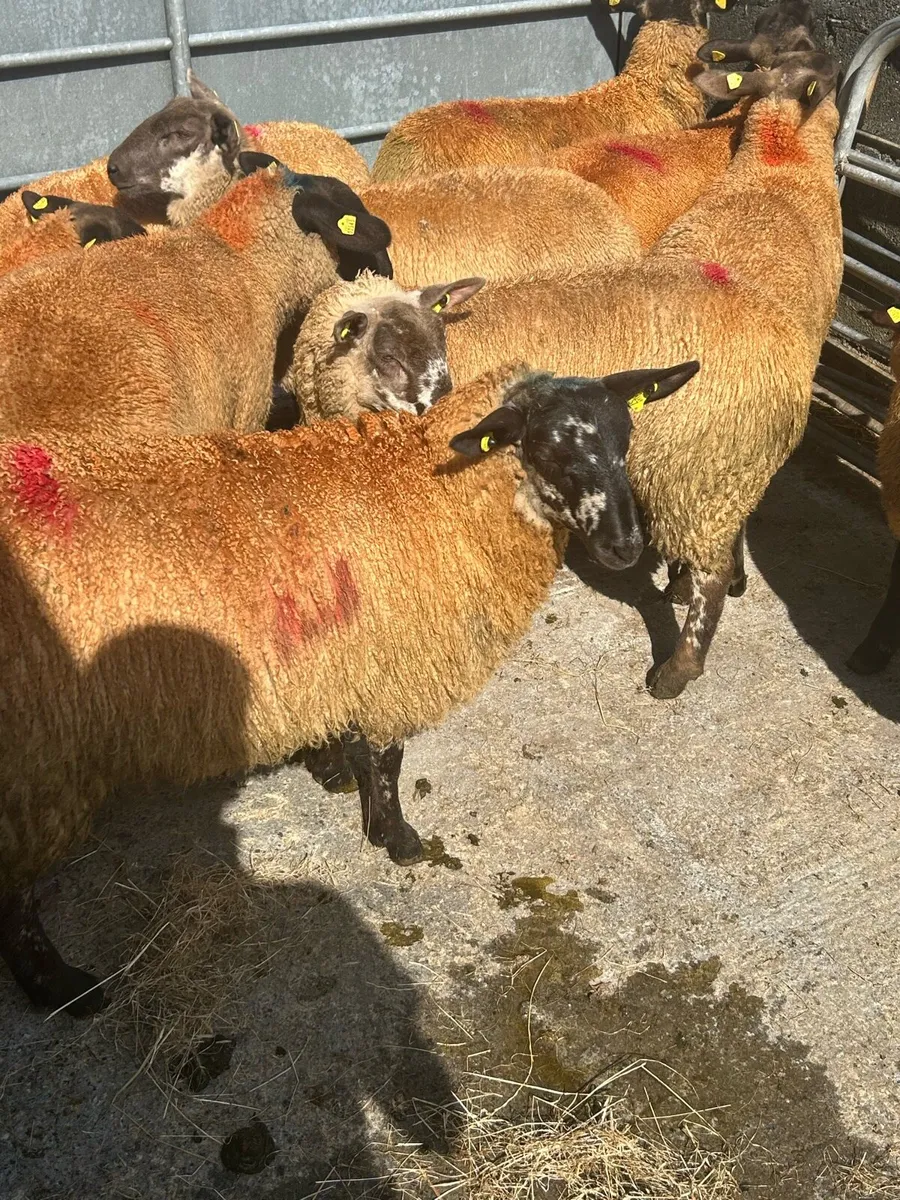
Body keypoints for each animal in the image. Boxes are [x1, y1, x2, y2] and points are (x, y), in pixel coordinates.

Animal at [0, 355, 698, 1014]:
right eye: (551, 450)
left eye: (626, 438)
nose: (627, 546)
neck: (434, 490)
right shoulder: (393, 659)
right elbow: (388, 759)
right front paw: (397, 838)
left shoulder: (336, 657)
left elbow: (352, 740)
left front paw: (330, 767)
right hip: (35, 762)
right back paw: (59, 987)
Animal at [439, 52, 842, 699]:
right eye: (822, 81)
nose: (835, 67)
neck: (782, 160)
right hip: (714, 471)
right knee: (717, 553)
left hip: (702, 472)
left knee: (711, 569)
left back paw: (678, 665)